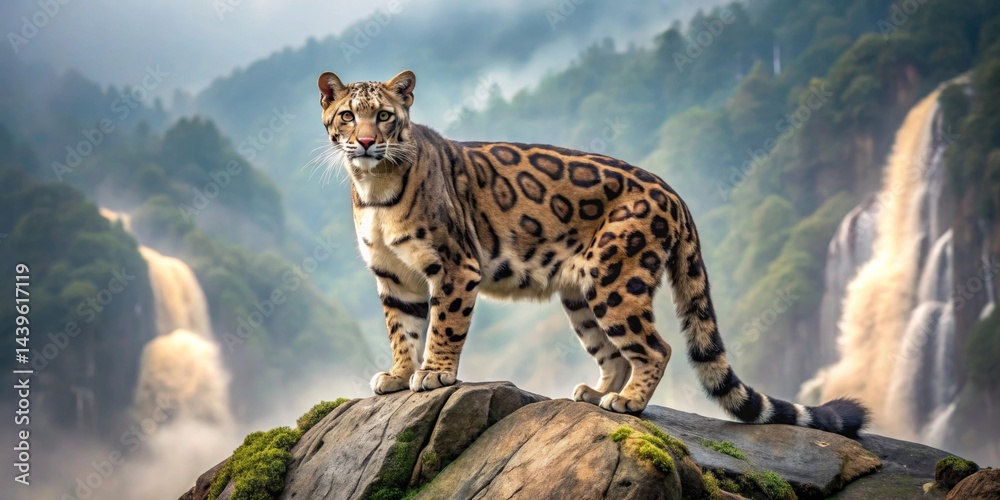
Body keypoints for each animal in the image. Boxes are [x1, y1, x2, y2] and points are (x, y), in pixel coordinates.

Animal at [316, 70, 869, 436]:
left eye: (384, 115)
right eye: (347, 115)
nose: (365, 141)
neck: (372, 189)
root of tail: (675, 193)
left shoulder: (454, 267)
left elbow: (444, 327)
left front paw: (433, 375)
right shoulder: (393, 277)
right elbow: (401, 329)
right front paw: (398, 374)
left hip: (617, 280)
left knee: (656, 347)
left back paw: (626, 404)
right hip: (581, 296)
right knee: (615, 352)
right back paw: (597, 393)